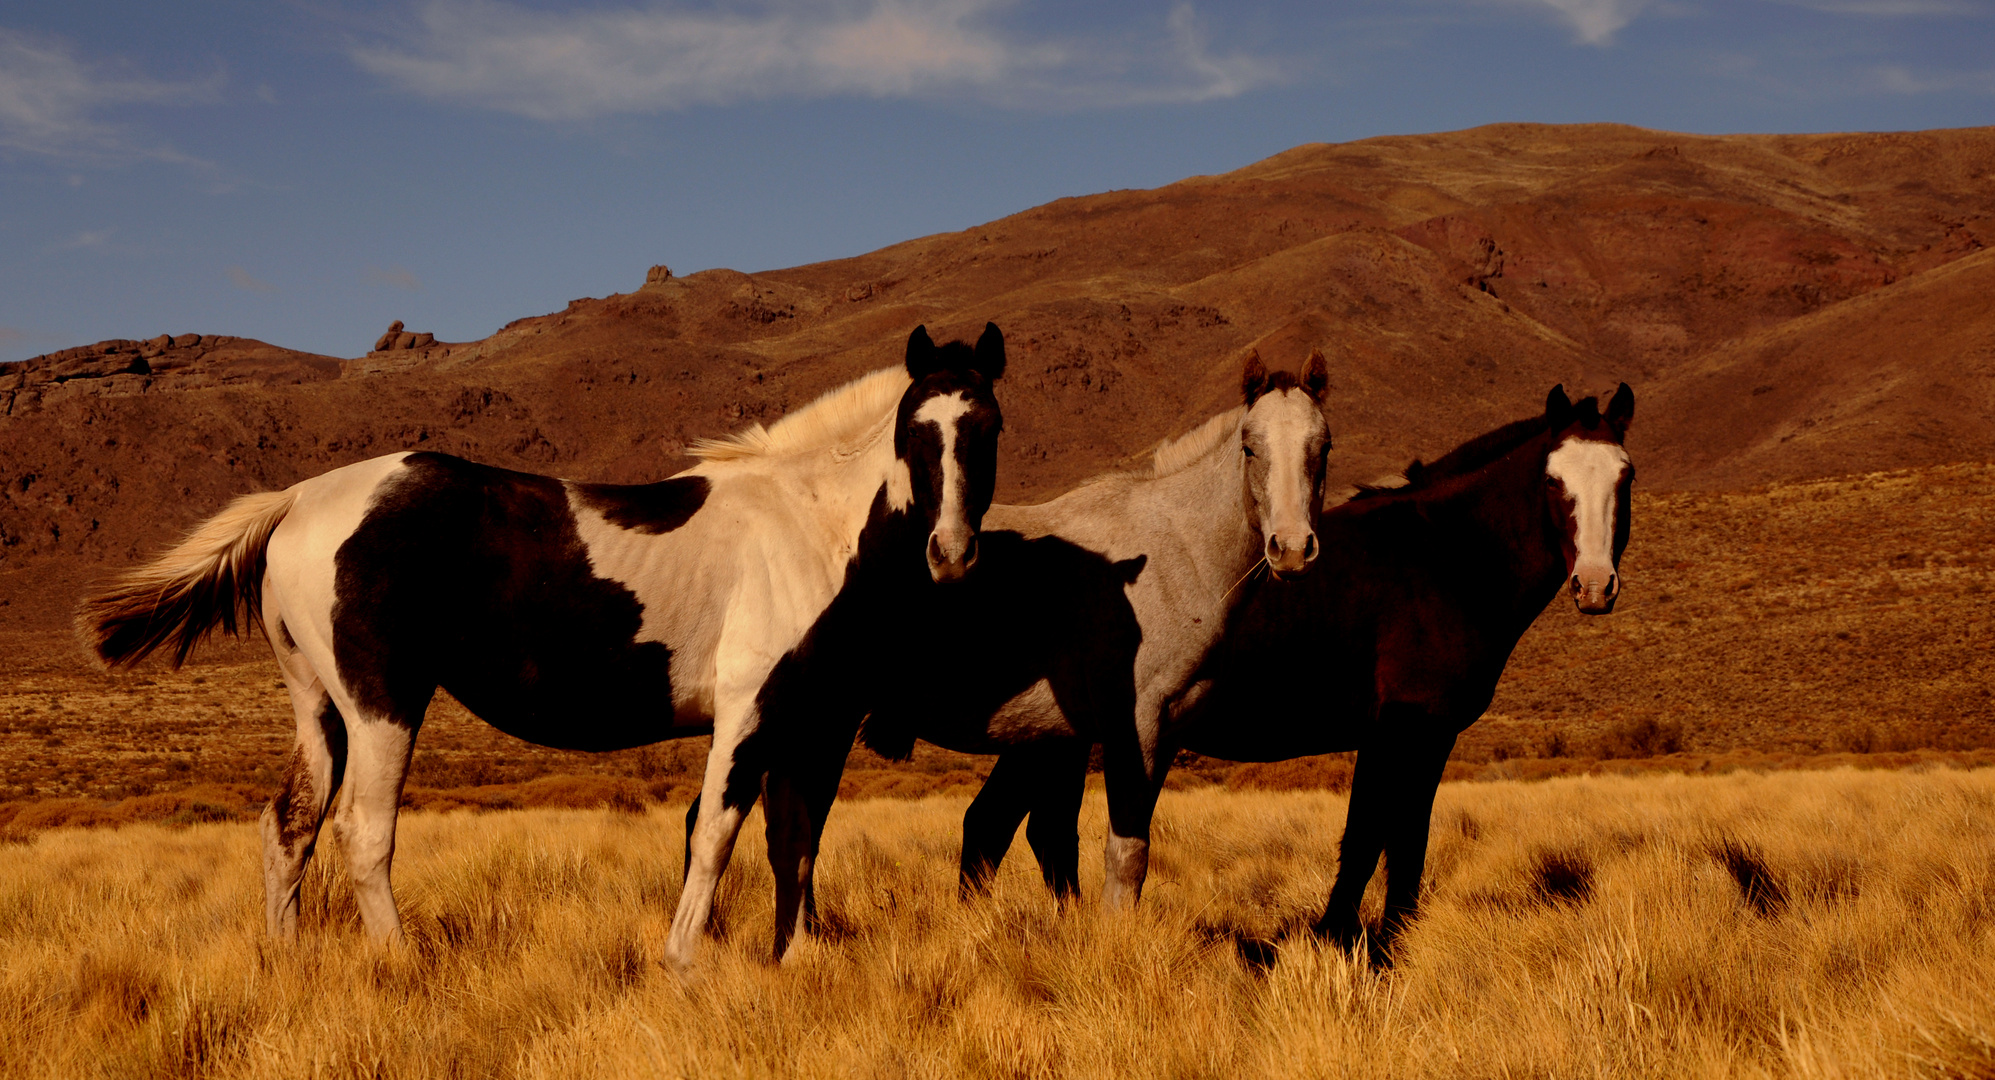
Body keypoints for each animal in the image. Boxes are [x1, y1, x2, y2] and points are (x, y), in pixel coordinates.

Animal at [83, 323, 1005, 966]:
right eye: (914, 432)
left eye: (988, 428)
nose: (953, 555)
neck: (807, 523)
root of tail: (300, 498)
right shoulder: (748, 716)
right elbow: (715, 833)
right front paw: (684, 961)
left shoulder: (811, 726)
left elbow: (795, 842)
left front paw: (797, 958)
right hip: (382, 705)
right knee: (362, 834)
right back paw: (402, 962)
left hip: (321, 710)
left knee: (289, 828)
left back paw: (287, 961)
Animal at [742, 347, 1332, 926]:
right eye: (1251, 448)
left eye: (1322, 447)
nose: (1291, 548)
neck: (1175, 550)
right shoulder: (1134, 728)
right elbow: (1124, 851)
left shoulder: (1116, 737)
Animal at [961, 381, 1635, 950]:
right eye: (1553, 481)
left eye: (1625, 477)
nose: (1594, 585)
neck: (1443, 558)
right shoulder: (1407, 731)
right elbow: (1378, 839)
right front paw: (1357, 945)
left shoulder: (1414, 737)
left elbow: (1392, 840)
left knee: (1007, 829)